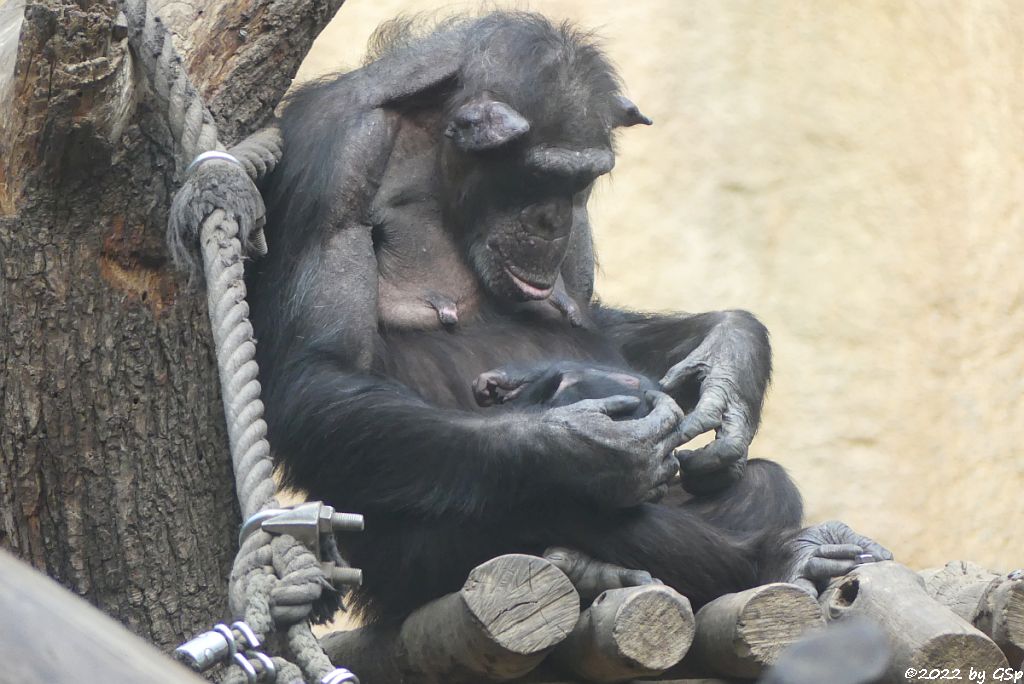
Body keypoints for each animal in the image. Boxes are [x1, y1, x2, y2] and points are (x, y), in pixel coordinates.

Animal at [247, 13, 888, 622]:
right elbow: (317, 373)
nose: (555, 220)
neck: (438, 152)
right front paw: (583, 447)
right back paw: (764, 558)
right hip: (401, 567)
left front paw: (731, 360)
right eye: (541, 174)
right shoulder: (336, 163)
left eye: (584, 179)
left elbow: (590, 321)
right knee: (553, 506)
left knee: (762, 484)